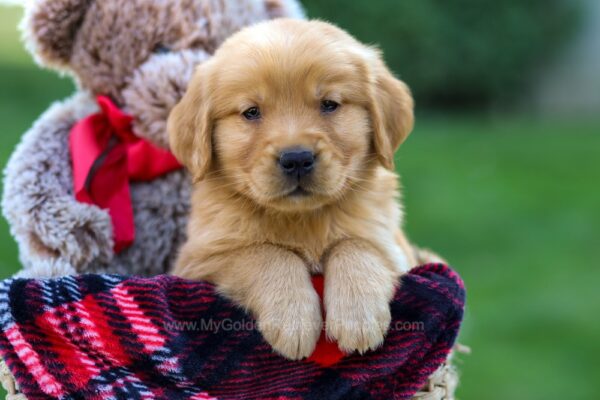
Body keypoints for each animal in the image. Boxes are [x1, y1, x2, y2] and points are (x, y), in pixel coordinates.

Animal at [168, 19, 422, 362]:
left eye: (329, 104)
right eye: (251, 112)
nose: (297, 158)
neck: (302, 218)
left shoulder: (392, 244)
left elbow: (357, 244)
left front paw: (358, 316)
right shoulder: (200, 259)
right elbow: (266, 253)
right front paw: (293, 318)